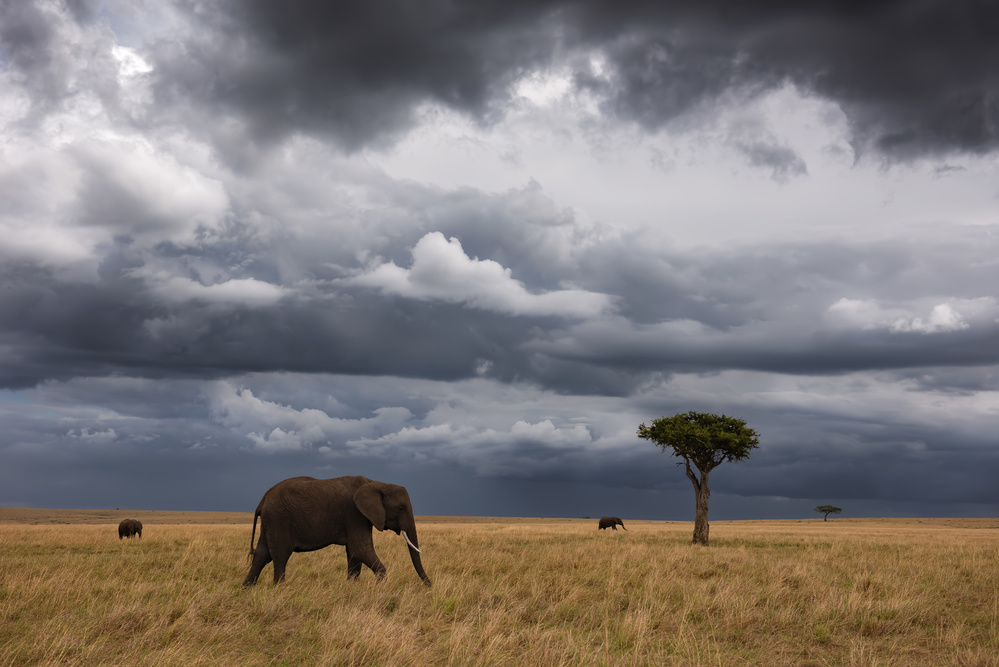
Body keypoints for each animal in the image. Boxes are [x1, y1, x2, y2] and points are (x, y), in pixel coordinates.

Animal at [244, 474, 432, 588]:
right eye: (401, 508)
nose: (429, 586)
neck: (377, 483)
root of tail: (263, 499)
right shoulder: (355, 513)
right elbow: (360, 549)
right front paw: (381, 587)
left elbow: (354, 553)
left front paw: (352, 588)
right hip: (279, 518)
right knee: (280, 554)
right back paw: (280, 589)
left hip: (271, 520)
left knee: (262, 553)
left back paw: (247, 588)